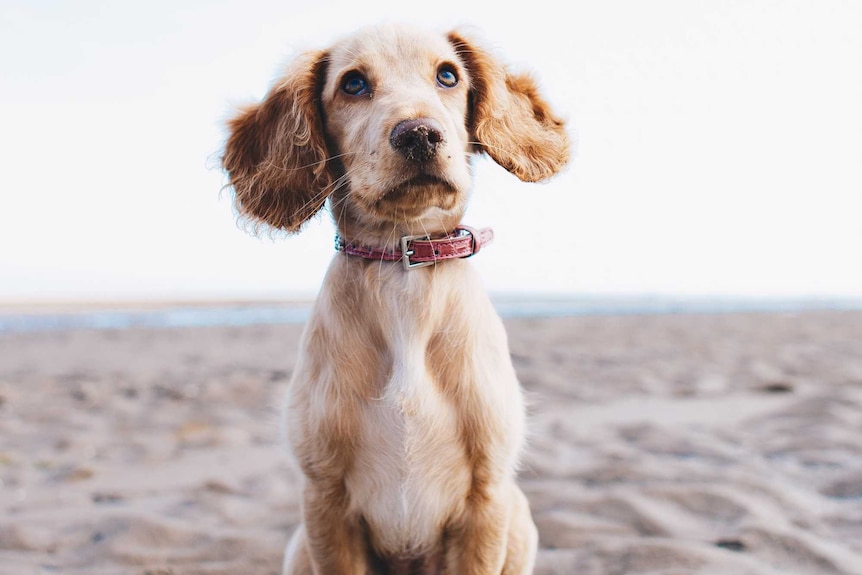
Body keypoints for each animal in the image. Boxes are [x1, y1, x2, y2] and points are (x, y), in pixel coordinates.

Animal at [223, 23, 572, 575]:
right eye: (353, 84)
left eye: (448, 76)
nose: (419, 134)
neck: (402, 272)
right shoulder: (324, 499)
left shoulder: (487, 498)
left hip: (520, 519)